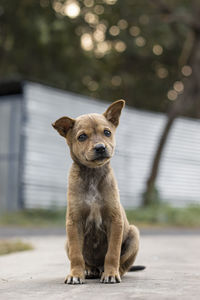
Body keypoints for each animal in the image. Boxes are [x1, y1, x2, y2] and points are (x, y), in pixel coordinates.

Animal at [52, 100, 140, 284]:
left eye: (107, 132)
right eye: (82, 137)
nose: (100, 148)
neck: (92, 174)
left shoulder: (114, 220)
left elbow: (113, 253)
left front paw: (111, 273)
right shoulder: (74, 222)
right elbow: (76, 255)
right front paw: (75, 275)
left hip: (134, 234)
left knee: (124, 264)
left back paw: (113, 272)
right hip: (66, 242)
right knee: (86, 261)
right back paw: (89, 270)